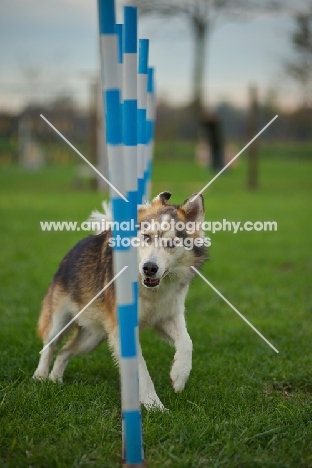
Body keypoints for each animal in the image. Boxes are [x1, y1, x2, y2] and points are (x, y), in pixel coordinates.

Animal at [33, 191, 207, 410]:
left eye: (170, 244)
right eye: (146, 237)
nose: (149, 268)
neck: (149, 290)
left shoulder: (167, 316)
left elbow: (187, 342)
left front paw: (179, 376)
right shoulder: (122, 329)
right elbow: (141, 368)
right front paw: (154, 405)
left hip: (93, 337)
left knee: (65, 351)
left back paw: (55, 379)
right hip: (60, 319)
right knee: (50, 345)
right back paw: (40, 376)